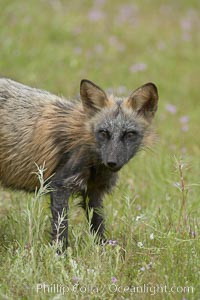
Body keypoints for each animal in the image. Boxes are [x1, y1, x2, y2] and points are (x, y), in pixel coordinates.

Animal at [0, 78, 159, 248]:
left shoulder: (94, 191)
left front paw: (102, 250)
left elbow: (98, 225)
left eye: (129, 134)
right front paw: (60, 253)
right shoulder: (60, 186)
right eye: (104, 133)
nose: (112, 162)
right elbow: (61, 229)